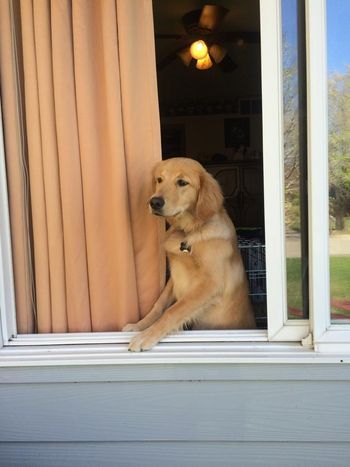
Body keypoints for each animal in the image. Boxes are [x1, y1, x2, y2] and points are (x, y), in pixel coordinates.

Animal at [124, 157, 256, 352]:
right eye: (159, 180)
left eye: (182, 182)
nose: (154, 202)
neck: (188, 232)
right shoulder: (174, 277)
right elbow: (159, 305)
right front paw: (139, 326)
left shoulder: (211, 283)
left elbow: (174, 310)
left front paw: (146, 336)